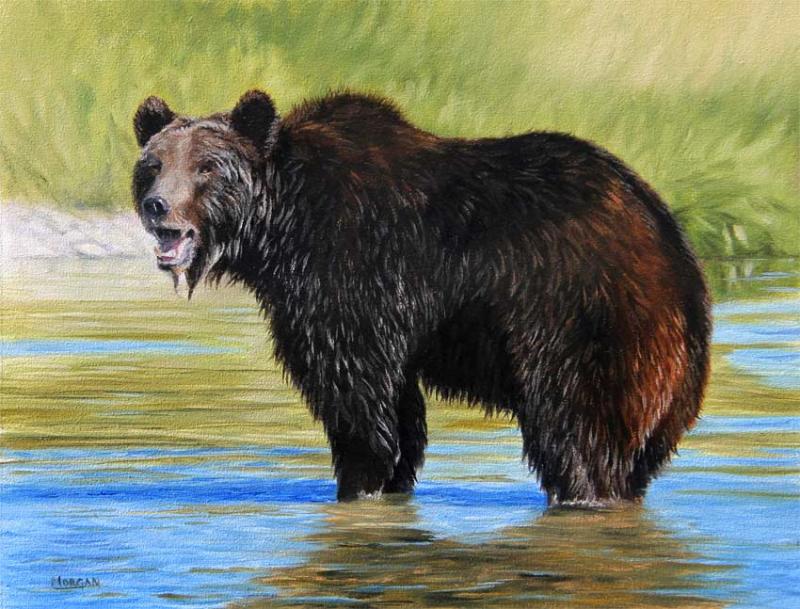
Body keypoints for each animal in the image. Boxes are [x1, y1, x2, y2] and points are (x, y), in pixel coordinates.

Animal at [132, 89, 711, 504]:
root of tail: (665, 236)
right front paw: (392, 482)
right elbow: (399, 410)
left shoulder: (348, 277)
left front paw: (358, 482)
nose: (158, 206)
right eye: (154, 164)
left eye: (207, 167)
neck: (280, 228)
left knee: (578, 431)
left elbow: (356, 399)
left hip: (580, 318)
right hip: (668, 377)